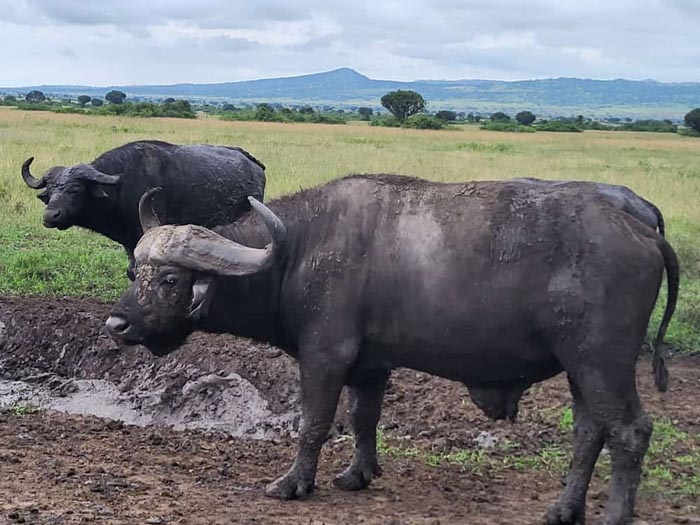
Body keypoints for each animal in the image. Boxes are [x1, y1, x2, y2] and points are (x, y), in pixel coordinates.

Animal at [20, 139, 266, 278]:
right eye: (51, 191)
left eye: (75, 190)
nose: (50, 216)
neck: (123, 187)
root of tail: (254, 164)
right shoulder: (130, 241)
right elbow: (132, 270)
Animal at [105, 174, 680, 520]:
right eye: (136, 272)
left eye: (172, 281)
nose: (117, 323)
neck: (300, 249)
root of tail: (640, 229)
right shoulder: (370, 366)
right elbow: (363, 419)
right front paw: (357, 474)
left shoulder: (325, 357)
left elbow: (314, 422)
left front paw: (293, 482)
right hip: (580, 369)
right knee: (589, 431)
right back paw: (564, 509)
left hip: (602, 362)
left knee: (628, 431)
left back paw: (614, 514)